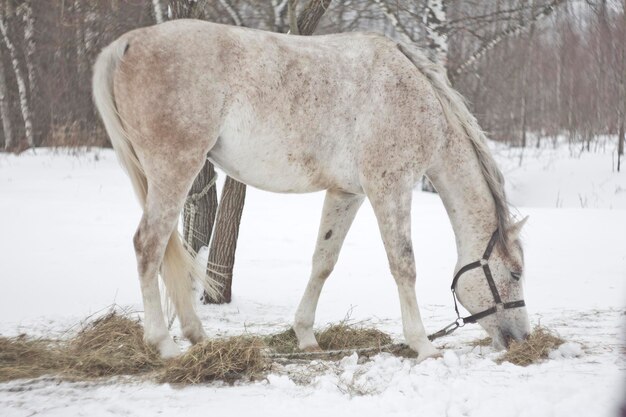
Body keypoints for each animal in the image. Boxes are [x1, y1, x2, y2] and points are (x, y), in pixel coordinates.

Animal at [91, 19, 528, 360]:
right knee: (148, 245)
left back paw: (198, 336)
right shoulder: (390, 189)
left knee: (166, 249)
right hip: (175, 169)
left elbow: (323, 261)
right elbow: (404, 265)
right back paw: (164, 344)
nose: (522, 339)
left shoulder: (347, 194)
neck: (417, 98)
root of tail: (130, 42)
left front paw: (305, 337)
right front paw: (423, 344)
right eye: (516, 272)